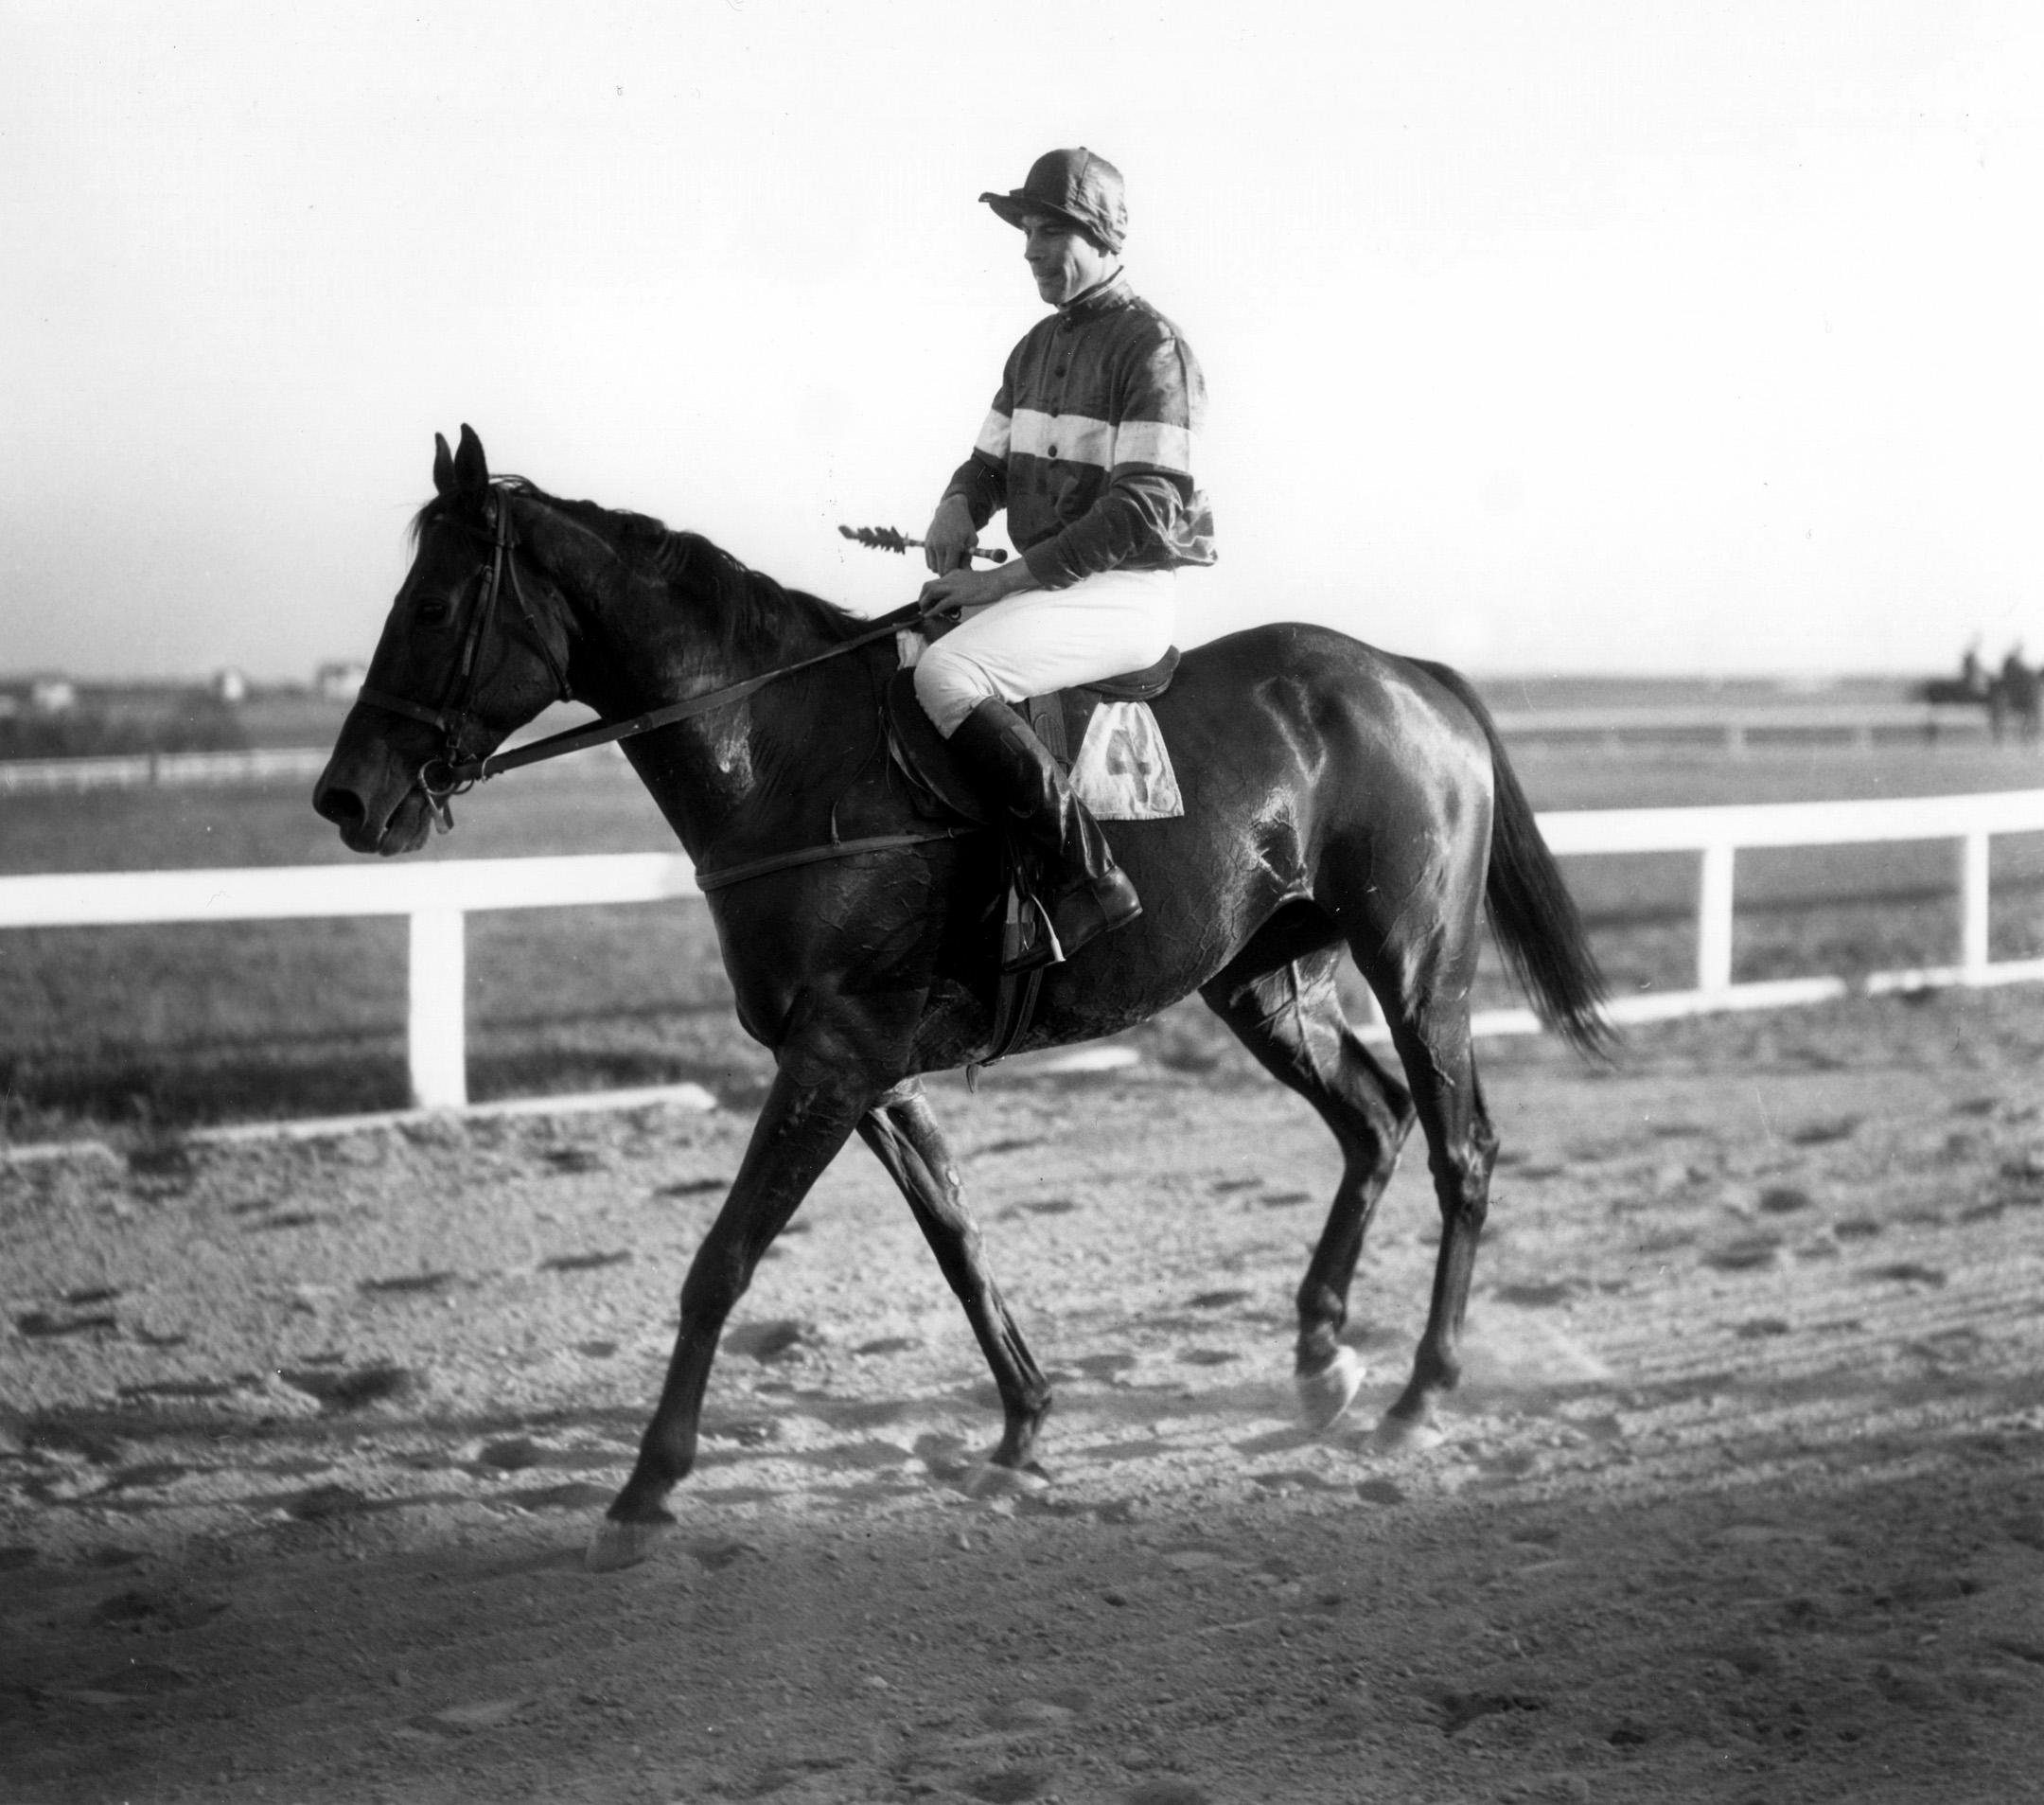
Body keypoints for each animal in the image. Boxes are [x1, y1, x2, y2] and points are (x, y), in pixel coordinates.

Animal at [314, 423, 1611, 1569]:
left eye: (431, 608)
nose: (347, 797)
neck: (787, 756)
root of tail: (1409, 676)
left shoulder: (835, 1057)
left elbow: (722, 1261)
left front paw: (644, 1489)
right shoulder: (869, 1071)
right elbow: (958, 1238)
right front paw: (1023, 1426)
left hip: (1419, 965)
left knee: (1459, 1145)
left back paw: (1420, 1391)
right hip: (1265, 984)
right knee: (1372, 1120)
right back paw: (1321, 1357)